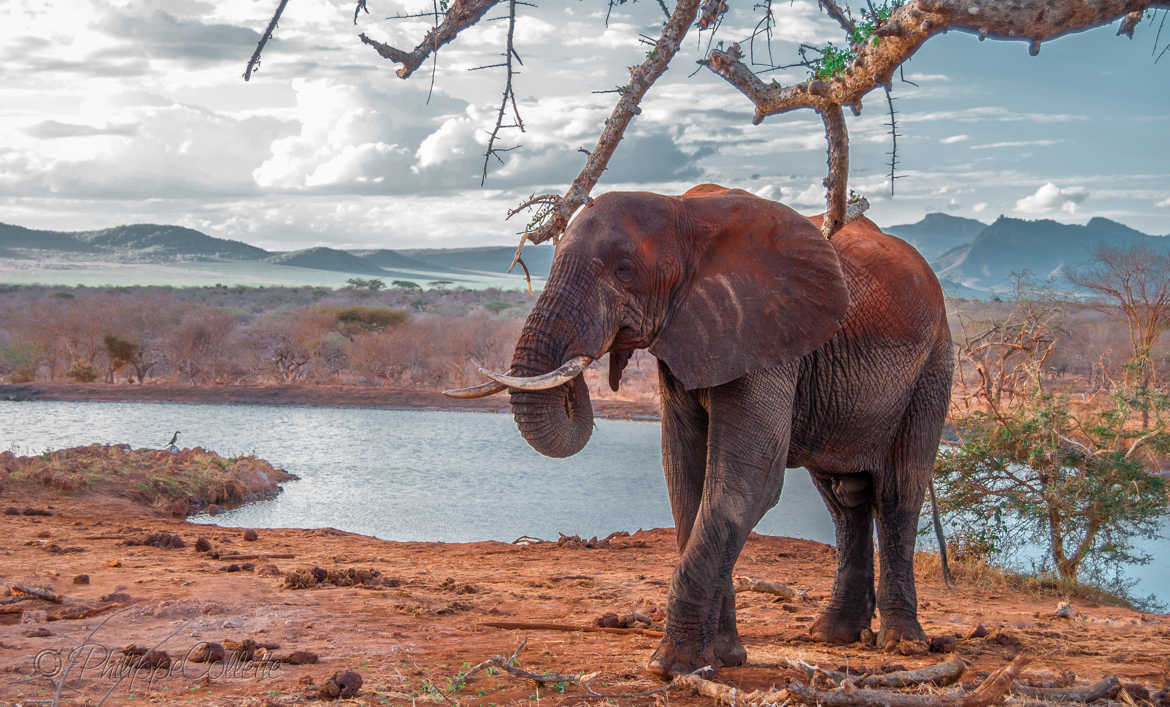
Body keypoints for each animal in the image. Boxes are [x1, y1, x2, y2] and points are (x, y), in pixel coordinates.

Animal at [444, 183, 950, 678]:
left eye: (624, 269)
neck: (684, 212)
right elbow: (684, 475)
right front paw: (722, 658)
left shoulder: (765, 334)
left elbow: (748, 482)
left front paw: (671, 666)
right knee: (843, 501)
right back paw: (832, 635)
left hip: (932, 367)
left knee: (898, 494)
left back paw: (903, 645)